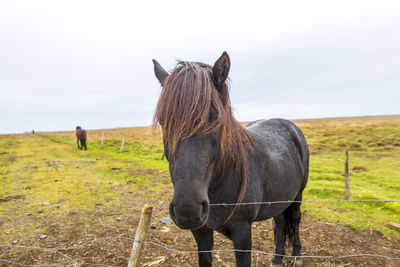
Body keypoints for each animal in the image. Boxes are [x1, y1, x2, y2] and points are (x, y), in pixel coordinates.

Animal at [153, 52, 310, 267]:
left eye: (214, 118)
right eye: (163, 121)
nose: (188, 210)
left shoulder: (242, 234)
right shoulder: (201, 232)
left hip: (297, 197)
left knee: (295, 220)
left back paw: (297, 256)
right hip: (280, 195)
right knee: (279, 222)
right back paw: (277, 258)